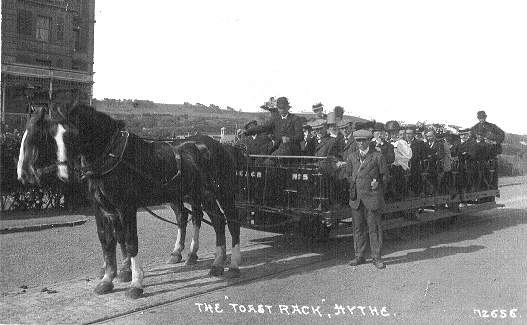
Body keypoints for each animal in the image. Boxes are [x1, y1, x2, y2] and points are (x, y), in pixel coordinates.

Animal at [16, 105, 243, 298]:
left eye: (42, 136)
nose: (23, 174)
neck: (112, 157)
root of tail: (221, 146)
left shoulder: (126, 208)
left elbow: (130, 241)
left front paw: (135, 283)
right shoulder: (102, 209)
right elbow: (109, 241)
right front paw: (108, 279)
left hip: (221, 194)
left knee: (228, 222)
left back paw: (230, 264)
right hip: (195, 195)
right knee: (203, 219)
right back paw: (202, 259)